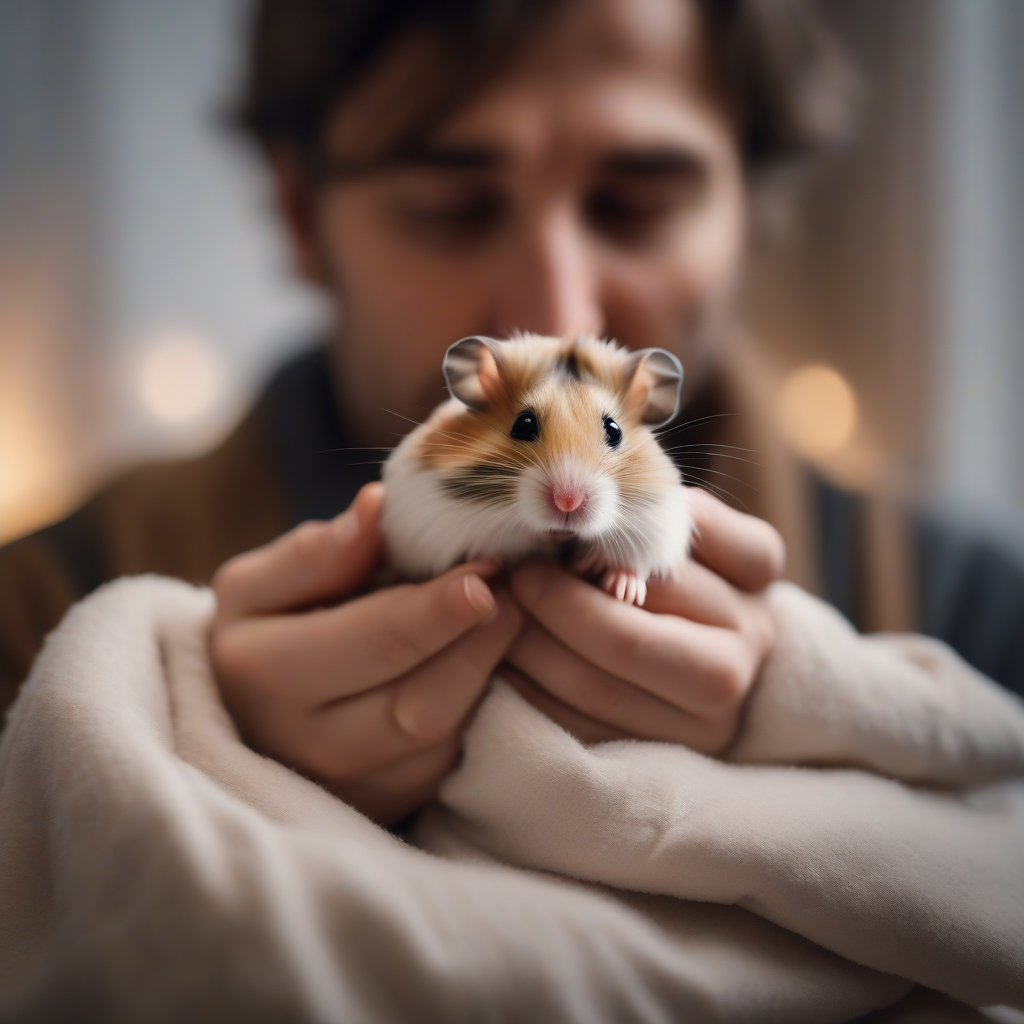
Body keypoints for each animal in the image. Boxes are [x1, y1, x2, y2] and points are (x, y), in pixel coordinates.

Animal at [381, 333, 692, 606]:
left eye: (614, 430)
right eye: (524, 424)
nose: (568, 502)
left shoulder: (661, 520)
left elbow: (636, 558)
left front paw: (619, 588)